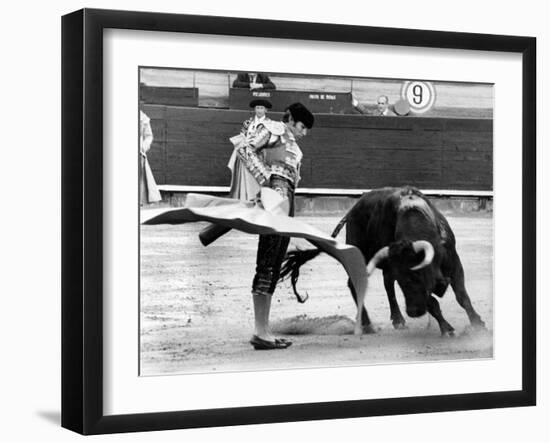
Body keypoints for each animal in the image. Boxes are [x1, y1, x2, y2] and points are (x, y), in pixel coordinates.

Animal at [282, 187, 490, 336]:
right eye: (405, 281)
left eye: (416, 275)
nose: (413, 312)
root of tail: (353, 209)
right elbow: (432, 302)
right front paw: (447, 329)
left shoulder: (454, 262)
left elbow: (462, 296)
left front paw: (478, 323)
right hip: (361, 253)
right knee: (355, 283)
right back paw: (367, 324)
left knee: (387, 284)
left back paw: (398, 320)